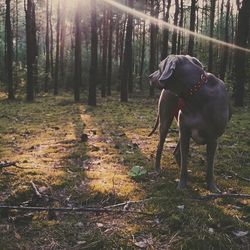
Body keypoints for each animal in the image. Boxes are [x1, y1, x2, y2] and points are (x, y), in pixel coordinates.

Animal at [148, 54, 230, 191]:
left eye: (159, 67)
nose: (149, 76)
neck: (196, 95)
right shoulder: (185, 133)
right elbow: (184, 163)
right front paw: (182, 186)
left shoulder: (213, 139)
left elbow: (210, 167)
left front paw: (212, 187)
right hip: (166, 121)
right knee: (161, 146)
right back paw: (158, 169)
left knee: (176, 152)